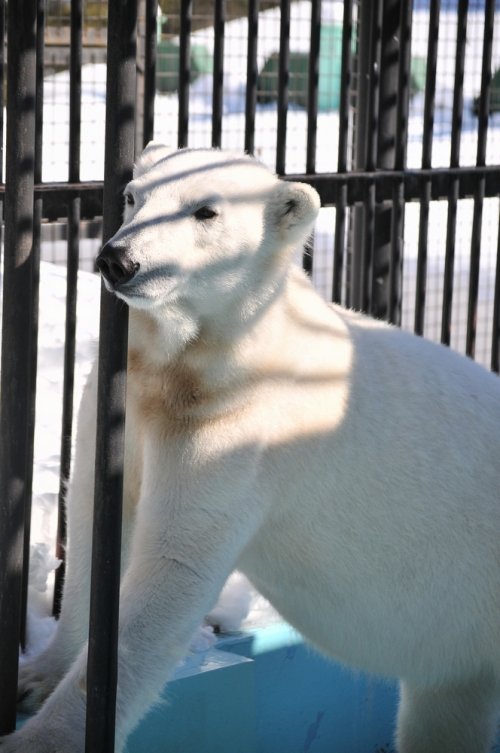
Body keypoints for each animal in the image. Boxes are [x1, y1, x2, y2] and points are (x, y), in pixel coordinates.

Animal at [2, 142, 500, 752]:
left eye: (205, 211)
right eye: (133, 196)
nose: (119, 260)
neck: (216, 361)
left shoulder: (238, 431)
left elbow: (173, 568)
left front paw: (38, 740)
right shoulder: (128, 398)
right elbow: (100, 522)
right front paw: (37, 675)